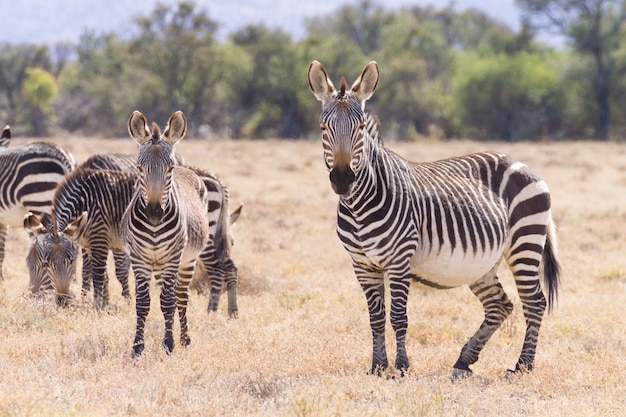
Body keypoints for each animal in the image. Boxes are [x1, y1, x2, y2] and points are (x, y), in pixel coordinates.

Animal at [122, 109, 210, 354]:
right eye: (140, 168)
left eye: (168, 169)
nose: (153, 213)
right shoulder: (139, 259)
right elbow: (143, 303)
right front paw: (137, 347)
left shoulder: (173, 258)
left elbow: (169, 302)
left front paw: (169, 344)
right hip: (160, 265)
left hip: (186, 260)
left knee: (180, 296)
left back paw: (184, 338)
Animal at [308, 61, 560, 376]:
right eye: (324, 127)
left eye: (361, 127)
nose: (342, 179)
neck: (359, 207)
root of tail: (520, 162)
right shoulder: (362, 264)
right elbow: (376, 317)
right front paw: (377, 367)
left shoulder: (399, 259)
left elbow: (398, 316)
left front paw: (401, 367)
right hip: (482, 264)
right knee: (499, 305)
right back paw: (464, 361)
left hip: (525, 242)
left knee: (534, 302)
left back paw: (523, 366)